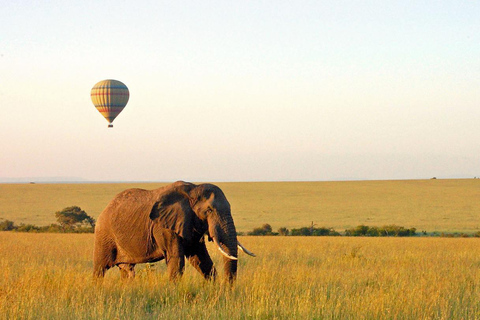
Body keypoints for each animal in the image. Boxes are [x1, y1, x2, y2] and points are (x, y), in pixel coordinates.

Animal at [93, 181, 255, 282]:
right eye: (209, 210)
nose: (226, 289)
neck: (193, 189)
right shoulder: (165, 228)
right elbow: (177, 260)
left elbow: (201, 259)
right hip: (104, 235)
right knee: (100, 269)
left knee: (127, 271)